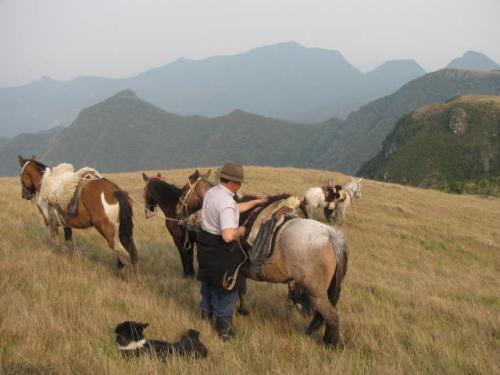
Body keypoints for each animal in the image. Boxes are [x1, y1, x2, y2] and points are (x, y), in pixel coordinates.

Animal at [175, 172, 348, 348]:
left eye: (185, 189)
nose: (178, 211)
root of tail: (331, 236)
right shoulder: (240, 270)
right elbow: (242, 290)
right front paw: (243, 310)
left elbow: (239, 290)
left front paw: (241, 310)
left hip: (316, 293)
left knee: (332, 315)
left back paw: (335, 344)